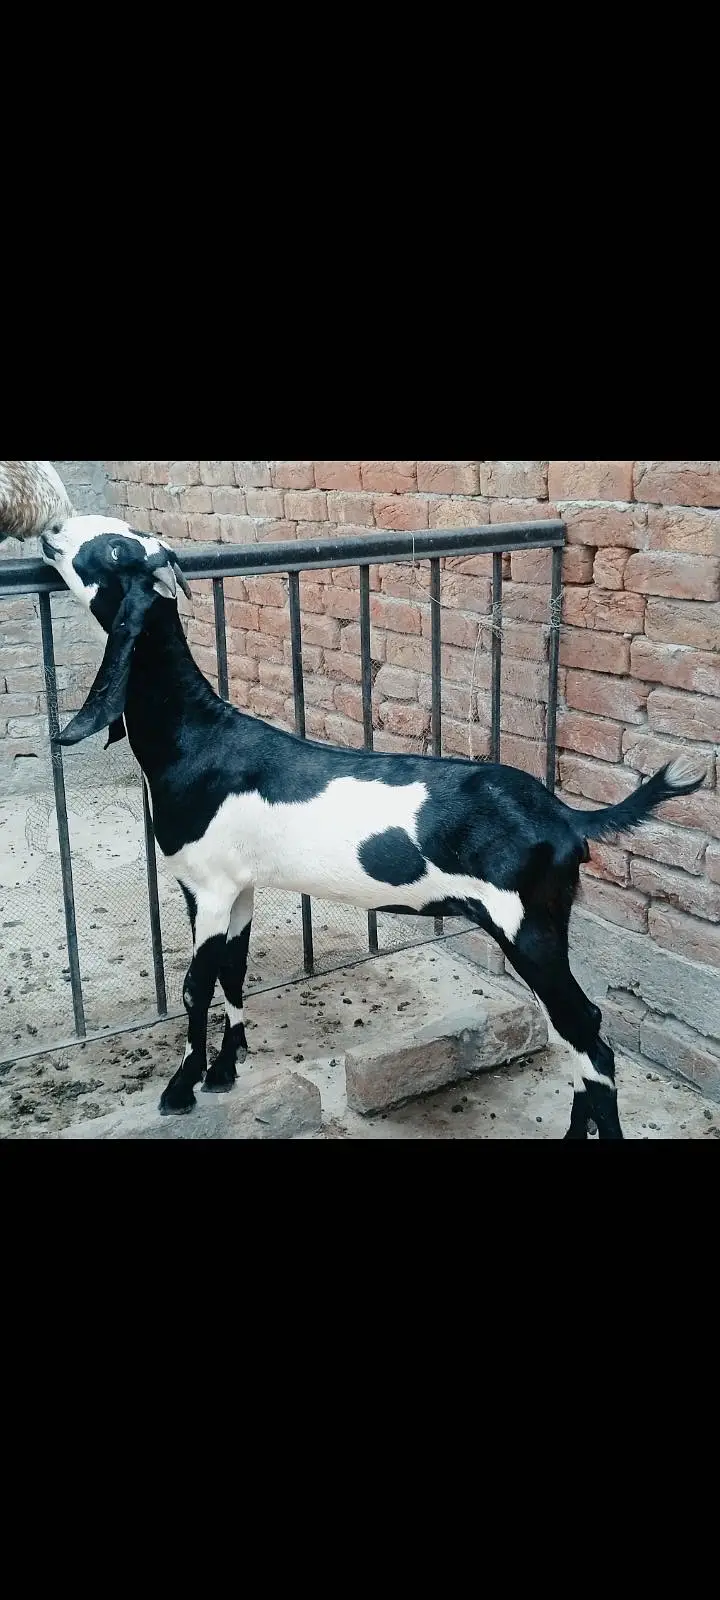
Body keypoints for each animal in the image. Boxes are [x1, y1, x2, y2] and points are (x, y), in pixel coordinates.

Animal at [41, 515, 706, 1139]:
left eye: (118, 549)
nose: (52, 530)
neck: (198, 737)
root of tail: (564, 814)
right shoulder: (240, 887)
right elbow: (234, 972)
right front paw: (226, 1070)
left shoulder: (207, 887)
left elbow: (193, 986)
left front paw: (181, 1089)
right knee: (575, 1037)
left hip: (529, 926)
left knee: (587, 1033)